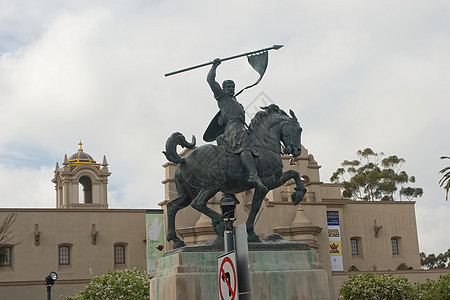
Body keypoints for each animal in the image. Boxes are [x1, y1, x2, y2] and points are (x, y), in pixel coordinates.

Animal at [162, 104, 306, 250]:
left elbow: (294, 173)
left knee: (172, 206)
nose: (297, 150)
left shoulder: (274, 181)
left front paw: (298, 195)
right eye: (299, 129)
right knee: (197, 203)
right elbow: (255, 207)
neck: (264, 146)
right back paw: (219, 222)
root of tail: (184, 160)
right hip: (212, 185)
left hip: (188, 193)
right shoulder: (265, 184)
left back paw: (177, 240)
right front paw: (252, 234)